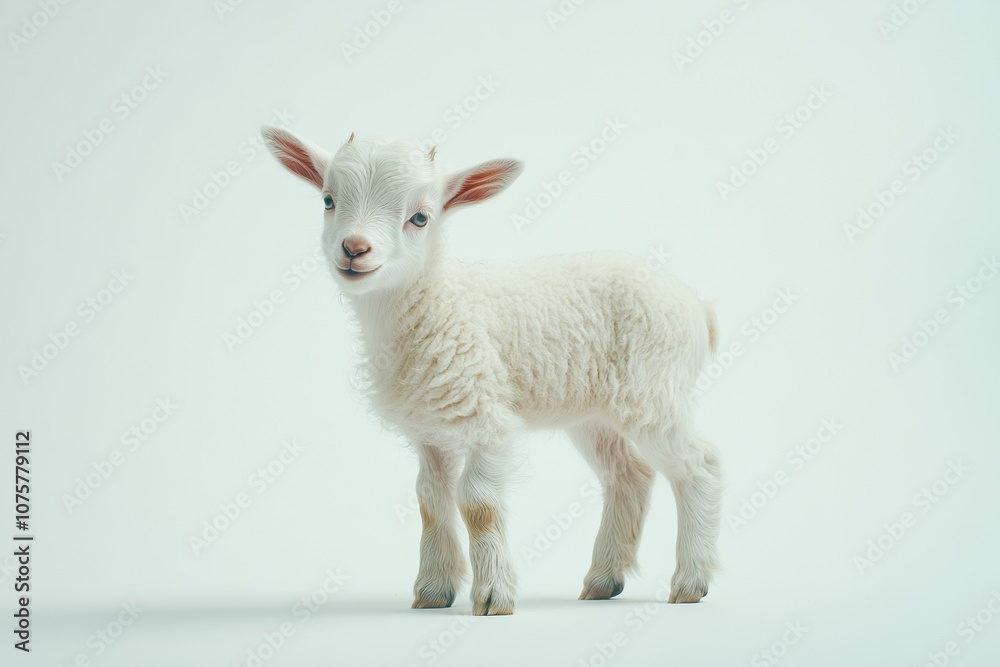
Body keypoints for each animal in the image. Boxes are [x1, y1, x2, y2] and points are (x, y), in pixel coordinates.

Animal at [262, 127, 722, 615]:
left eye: (420, 218)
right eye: (328, 200)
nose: (354, 249)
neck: (436, 302)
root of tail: (696, 305)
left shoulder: (487, 417)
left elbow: (478, 505)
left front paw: (492, 596)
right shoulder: (428, 429)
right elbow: (430, 501)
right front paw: (433, 591)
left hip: (654, 390)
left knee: (701, 466)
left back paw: (690, 581)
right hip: (594, 413)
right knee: (628, 475)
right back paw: (603, 579)